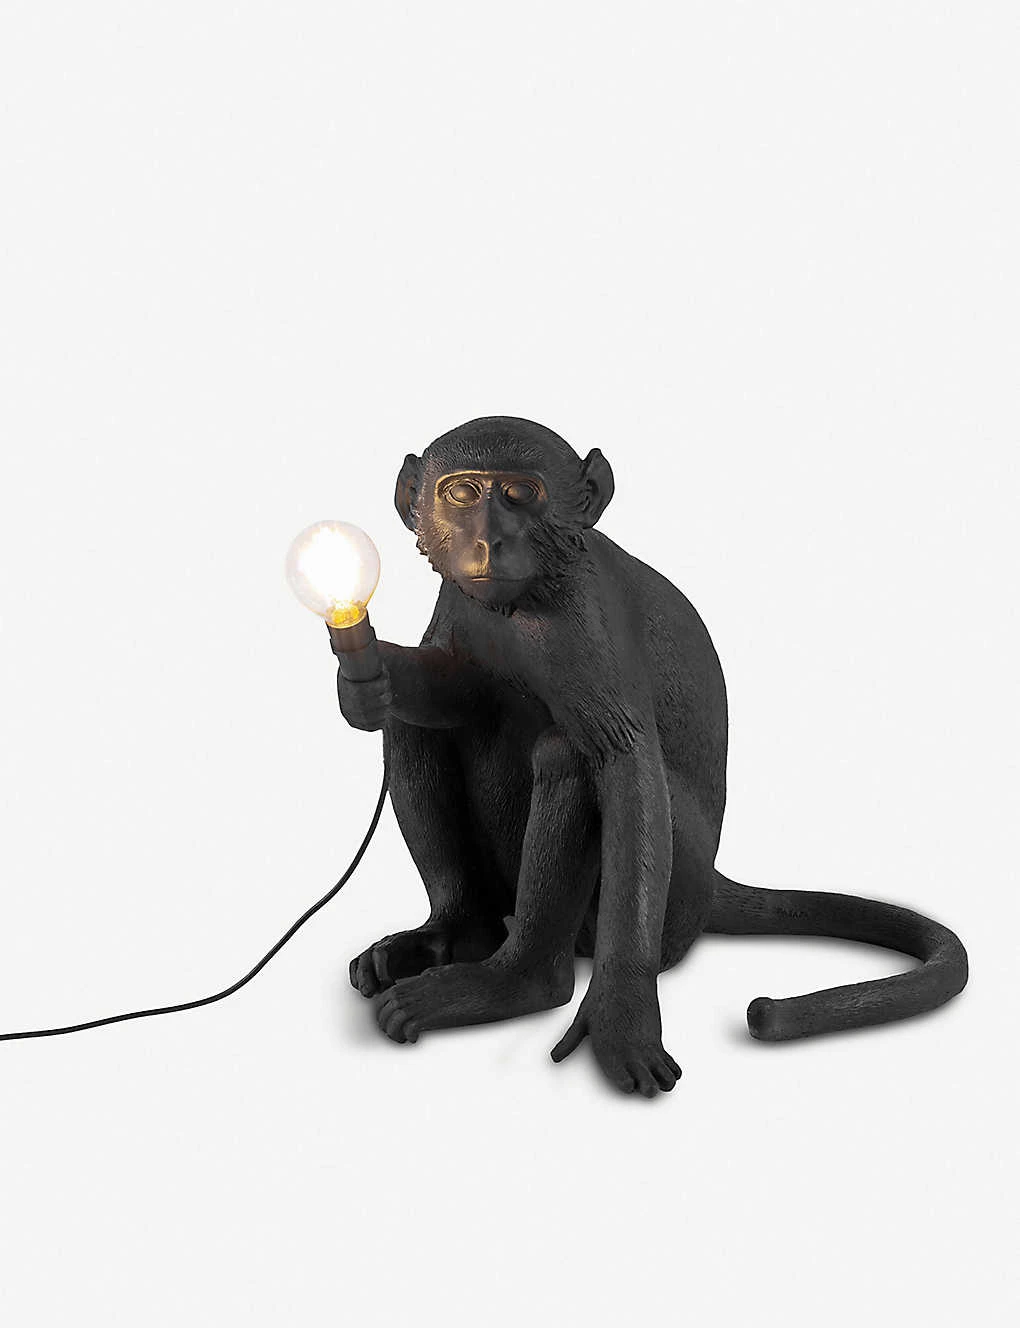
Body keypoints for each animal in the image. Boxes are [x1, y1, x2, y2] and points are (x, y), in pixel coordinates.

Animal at [338, 416, 968, 1096]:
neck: (526, 597)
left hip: (676, 894)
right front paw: (371, 678)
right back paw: (456, 932)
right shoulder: (459, 601)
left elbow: (623, 766)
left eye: (519, 494)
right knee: (418, 729)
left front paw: (622, 1014)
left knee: (567, 756)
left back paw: (520, 981)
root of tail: (712, 885)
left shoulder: (580, 623)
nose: (487, 542)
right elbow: (452, 690)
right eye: (460, 494)